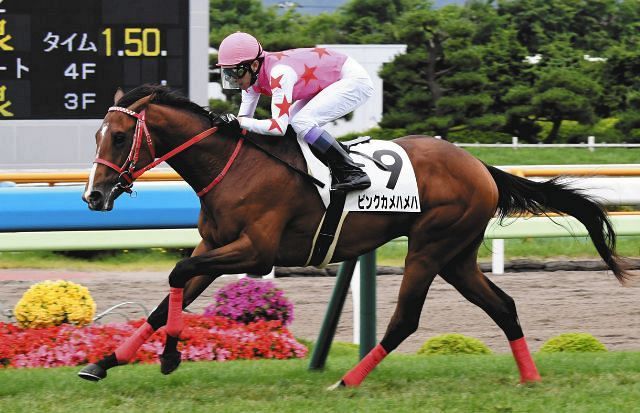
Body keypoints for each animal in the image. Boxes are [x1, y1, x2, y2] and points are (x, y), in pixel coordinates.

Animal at [78, 84, 632, 387]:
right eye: (98, 136)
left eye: (121, 137)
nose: (94, 196)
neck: (234, 166)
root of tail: (480, 166)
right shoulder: (214, 246)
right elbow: (167, 296)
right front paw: (105, 363)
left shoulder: (253, 253)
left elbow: (177, 271)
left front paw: (169, 357)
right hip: (457, 256)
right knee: (504, 306)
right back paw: (530, 378)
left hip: (429, 248)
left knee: (406, 320)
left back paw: (346, 381)